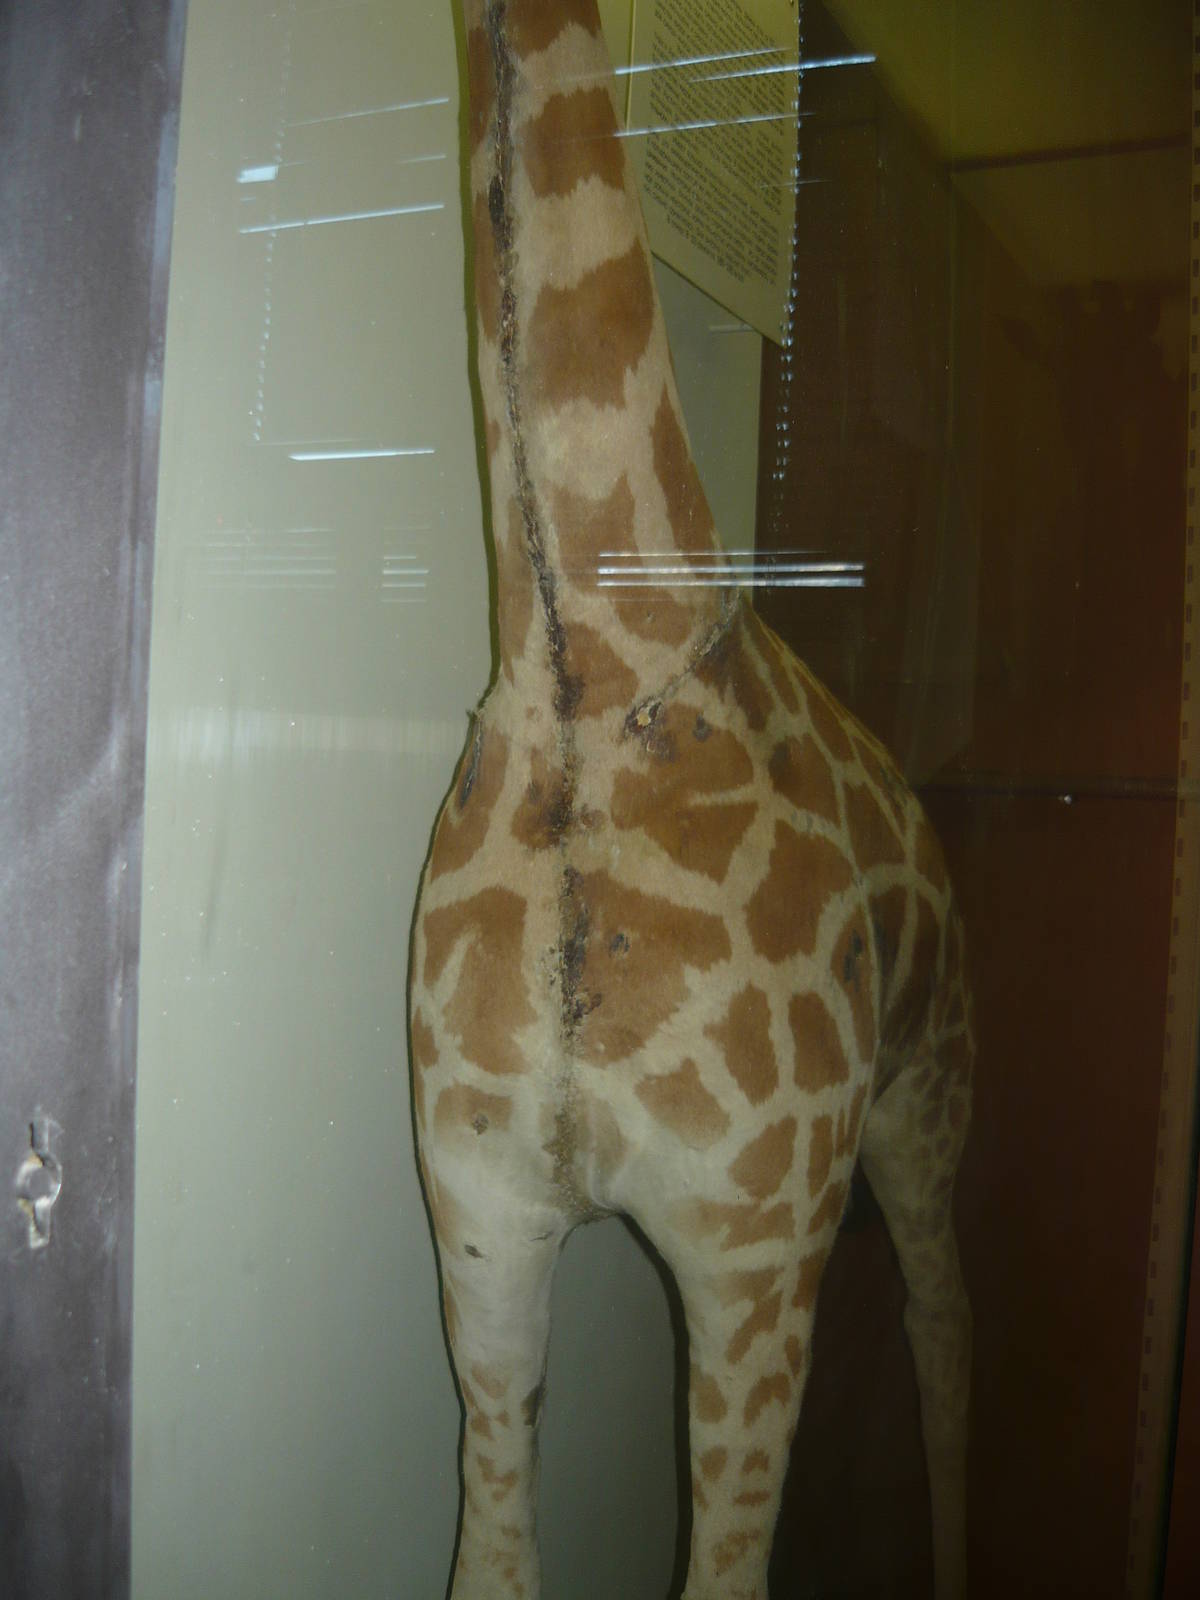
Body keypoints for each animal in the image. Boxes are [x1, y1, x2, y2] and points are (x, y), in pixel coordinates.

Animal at [408, 3, 973, 1596]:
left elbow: (725, 1572)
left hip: (924, 1099)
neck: (584, 671)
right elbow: (492, 1561)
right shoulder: (479, 1221)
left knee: (946, 1328)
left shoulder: (753, 1249)